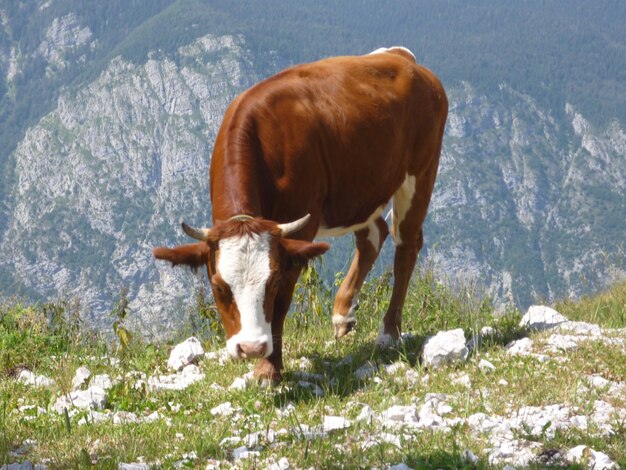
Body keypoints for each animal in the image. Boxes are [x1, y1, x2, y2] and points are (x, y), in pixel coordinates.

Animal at [153, 46, 446, 384]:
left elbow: (281, 306)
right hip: (363, 188)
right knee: (373, 236)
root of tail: (403, 58)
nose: (251, 348)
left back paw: (389, 332)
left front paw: (269, 368)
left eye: (272, 283)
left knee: (406, 243)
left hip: (420, 172)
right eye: (219, 287)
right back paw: (343, 314)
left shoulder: (297, 234)